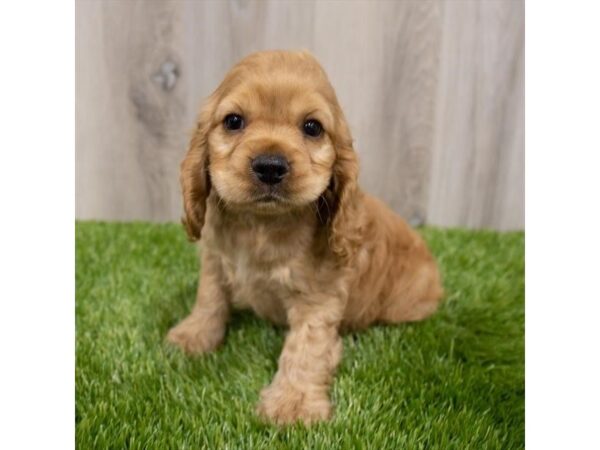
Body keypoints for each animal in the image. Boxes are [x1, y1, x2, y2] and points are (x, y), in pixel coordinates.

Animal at [166, 50, 442, 426]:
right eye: (233, 121)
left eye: (312, 127)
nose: (270, 165)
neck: (261, 226)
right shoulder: (214, 257)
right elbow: (209, 298)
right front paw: (193, 336)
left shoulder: (319, 295)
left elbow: (306, 347)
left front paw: (292, 404)